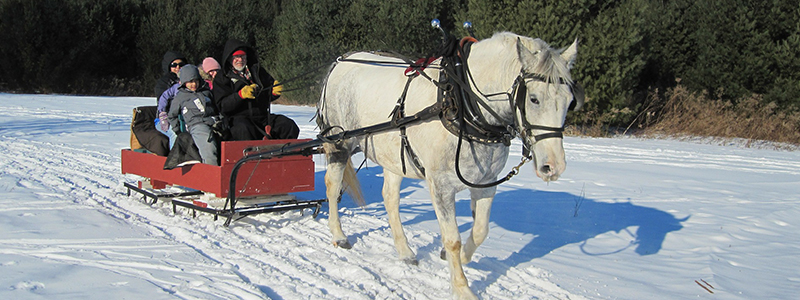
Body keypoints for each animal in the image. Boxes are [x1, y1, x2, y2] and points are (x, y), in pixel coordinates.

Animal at [316, 31, 580, 298]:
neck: (461, 105)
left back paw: (405, 251)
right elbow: (452, 239)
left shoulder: (486, 183)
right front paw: (462, 288)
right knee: (332, 186)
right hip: (339, 143)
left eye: (570, 101)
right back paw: (339, 235)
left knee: (390, 198)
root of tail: (341, 60)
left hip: (393, 156)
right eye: (534, 99)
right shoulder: (441, 185)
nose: (553, 166)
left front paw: (461, 258)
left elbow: (480, 230)